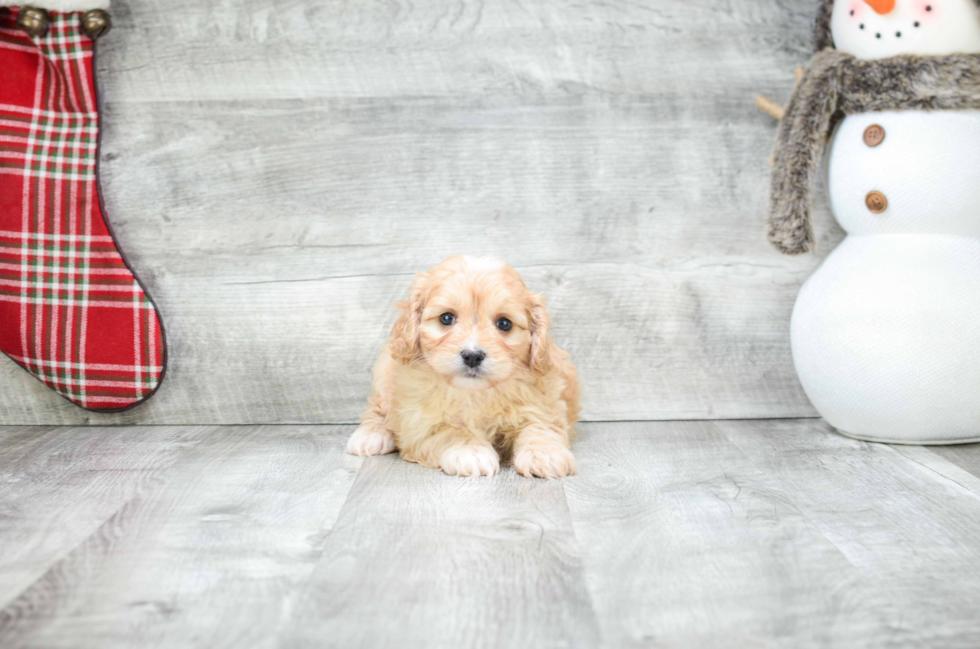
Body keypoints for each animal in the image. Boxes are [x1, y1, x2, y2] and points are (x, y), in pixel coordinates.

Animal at [346, 256, 580, 478]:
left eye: (504, 323)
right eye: (446, 318)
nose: (472, 356)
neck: (474, 393)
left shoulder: (544, 404)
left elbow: (539, 427)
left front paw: (545, 454)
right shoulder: (418, 423)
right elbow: (449, 430)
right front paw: (471, 451)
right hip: (384, 372)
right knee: (377, 408)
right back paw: (370, 435)